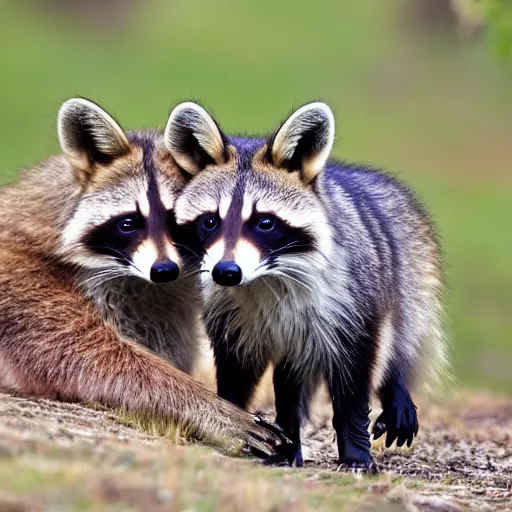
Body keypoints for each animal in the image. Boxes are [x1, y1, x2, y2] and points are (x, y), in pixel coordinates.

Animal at [0, 98, 288, 458]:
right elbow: (90, 359)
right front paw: (206, 406)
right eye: (128, 223)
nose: (164, 270)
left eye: (181, 225)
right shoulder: (24, 286)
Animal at [169, 101, 448, 472]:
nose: (226, 272)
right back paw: (289, 444)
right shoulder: (227, 310)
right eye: (210, 221)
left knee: (403, 335)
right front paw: (231, 418)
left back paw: (394, 385)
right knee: (290, 382)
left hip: (411, 275)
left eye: (265, 222)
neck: (267, 274)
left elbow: (354, 376)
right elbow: (236, 370)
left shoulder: (349, 300)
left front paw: (355, 450)